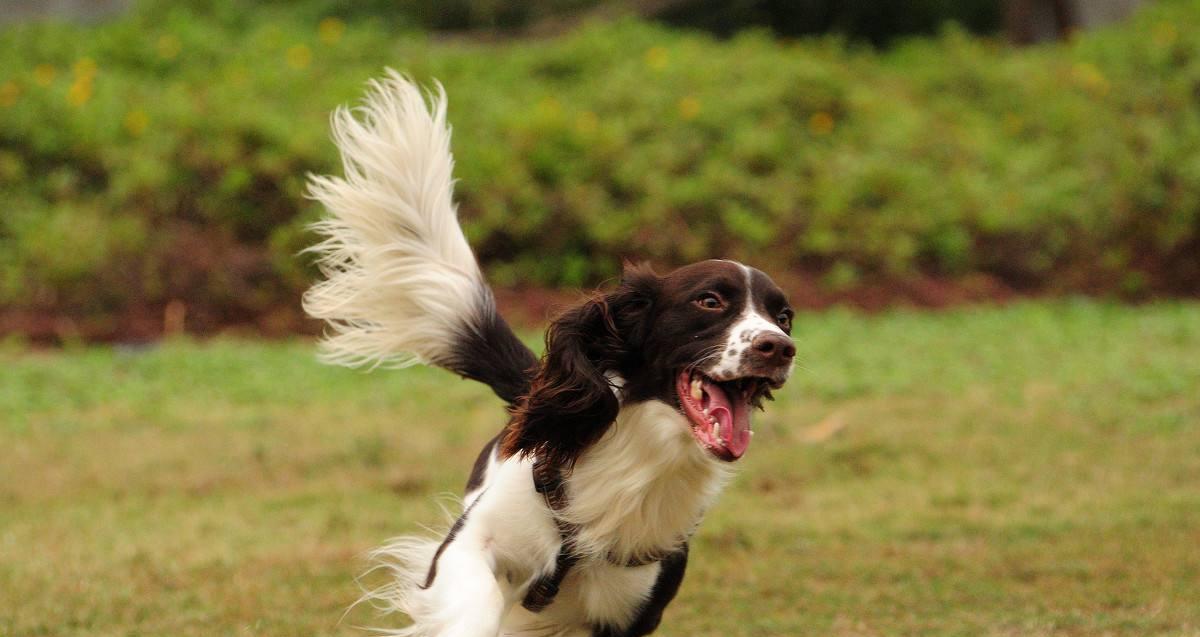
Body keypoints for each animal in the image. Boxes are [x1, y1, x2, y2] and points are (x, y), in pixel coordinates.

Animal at [307, 73, 796, 637]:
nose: (780, 347)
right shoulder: (468, 545)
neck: (632, 456)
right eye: (710, 301)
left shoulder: (633, 611)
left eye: (785, 316)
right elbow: (472, 605)